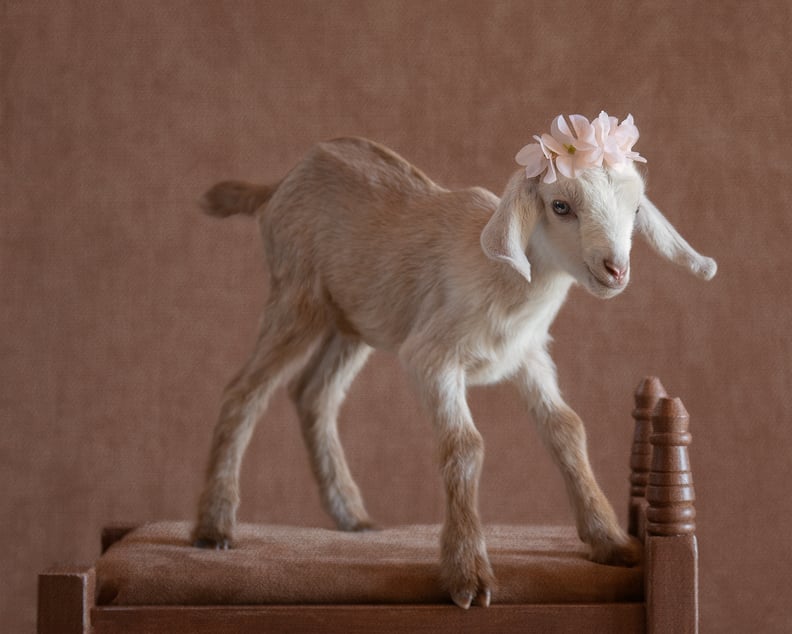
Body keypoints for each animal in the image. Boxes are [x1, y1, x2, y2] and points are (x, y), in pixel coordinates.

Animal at [192, 132, 716, 609]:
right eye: (561, 206)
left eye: (636, 209)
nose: (615, 269)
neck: (509, 279)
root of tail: (281, 182)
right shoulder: (431, 358)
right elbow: (464, 446)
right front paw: (468, 574)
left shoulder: (529, 357)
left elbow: (567, 429)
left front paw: (609, 540)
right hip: (297, 299)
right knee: (243, 391)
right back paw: (214, 526)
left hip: (356, 321)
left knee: (313, 393)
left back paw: (351, 514)